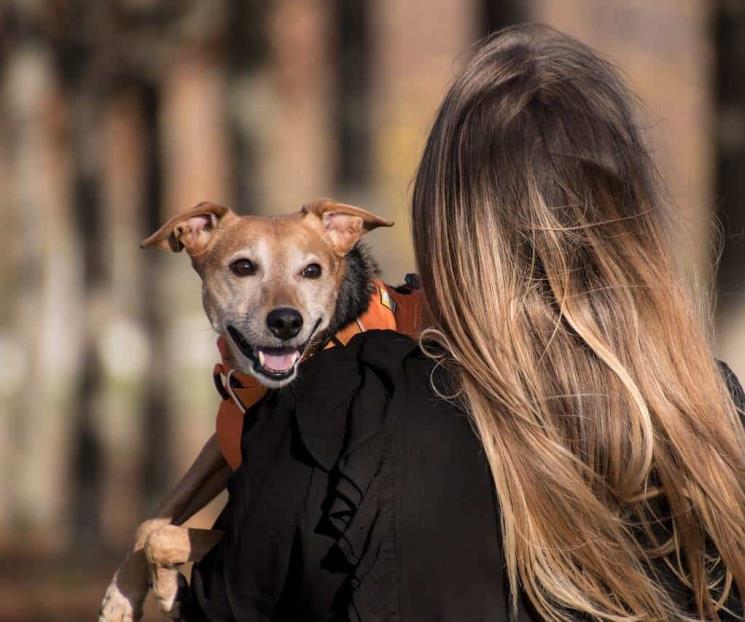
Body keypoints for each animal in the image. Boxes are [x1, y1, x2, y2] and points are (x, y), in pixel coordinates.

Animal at [99, 200, 424, 622]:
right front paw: (121, 598)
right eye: (243, 267)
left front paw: (169, 591)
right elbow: (154, 518)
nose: (286, 321)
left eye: (312, 270)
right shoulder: (220, 447)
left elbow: (163, 535)